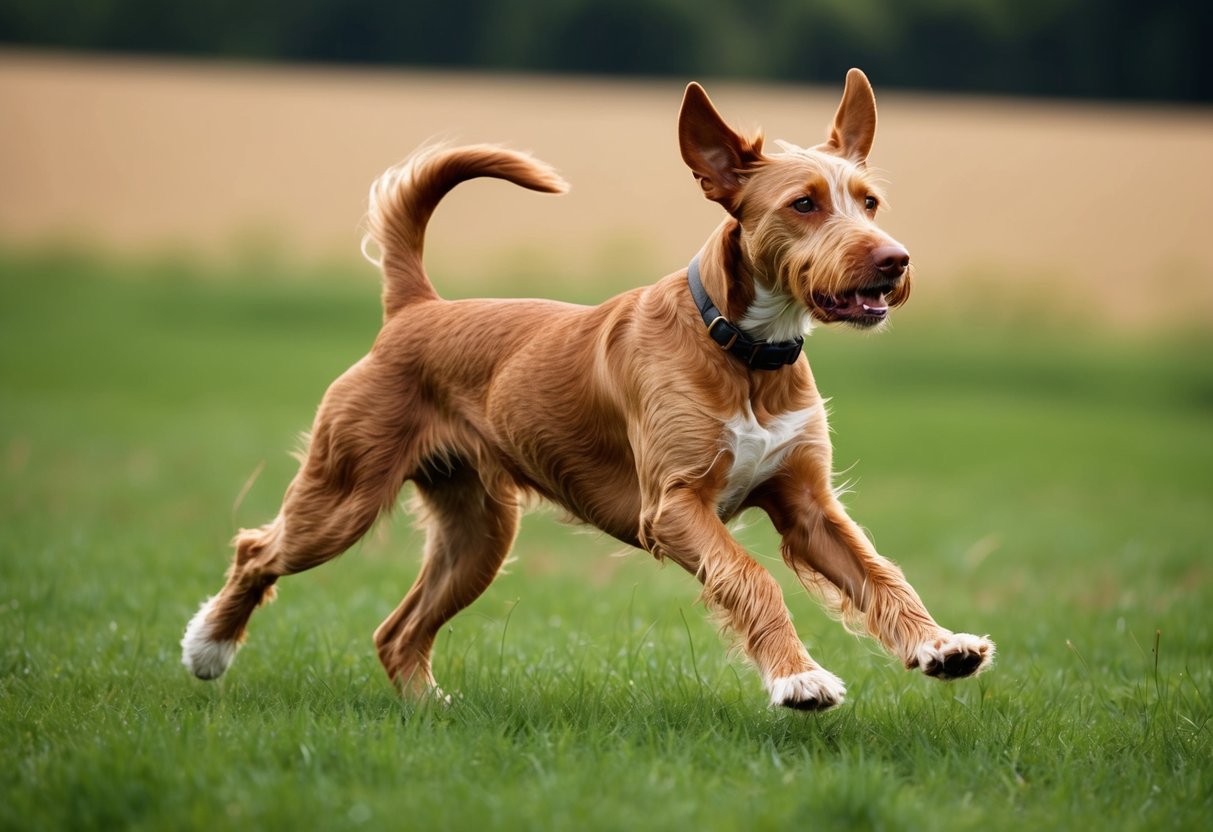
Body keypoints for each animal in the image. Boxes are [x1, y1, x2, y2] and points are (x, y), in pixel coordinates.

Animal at [181, 68, 994, 713]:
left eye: (869, 202)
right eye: (803, 204)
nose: (894, 261)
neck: (746, 352)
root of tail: (416, 307)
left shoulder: (808, 507)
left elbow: (879, 573)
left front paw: (938, 644)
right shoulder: (673, 506)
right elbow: (751, 576)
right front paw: (799, 681)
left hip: (478, 532)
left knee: (395, 632)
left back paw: (428, 710)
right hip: (343, 492)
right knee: (258, 549)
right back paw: (208, 649)